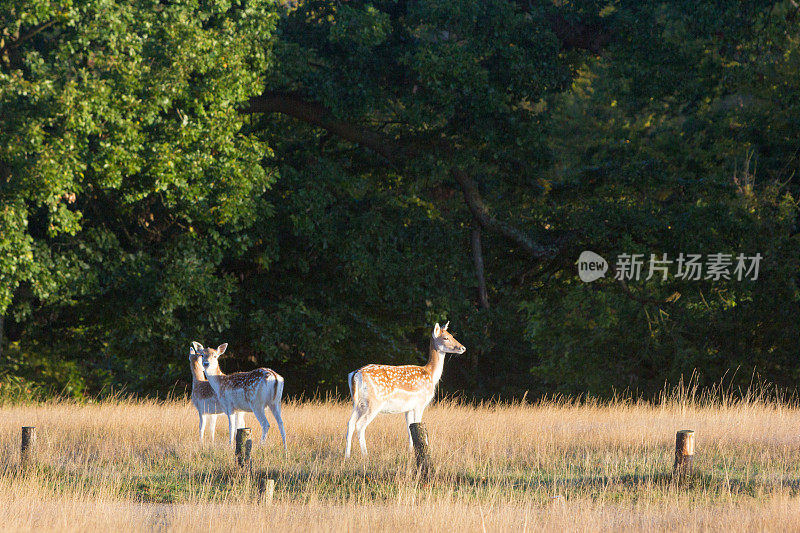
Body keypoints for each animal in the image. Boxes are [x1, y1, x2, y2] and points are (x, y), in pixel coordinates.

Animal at [342, 322, 466, 456]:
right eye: (445, 338)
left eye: (452, 335)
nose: (463, 348)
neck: (431, 374)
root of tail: (356, 374)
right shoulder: (419, 404)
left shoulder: (408, 408)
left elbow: (409, 430)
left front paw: (410, 453)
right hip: (373, 403)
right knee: (360, 425)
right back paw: (365, 455)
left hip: (358, 403)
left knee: (350, 423)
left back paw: (347, 456)